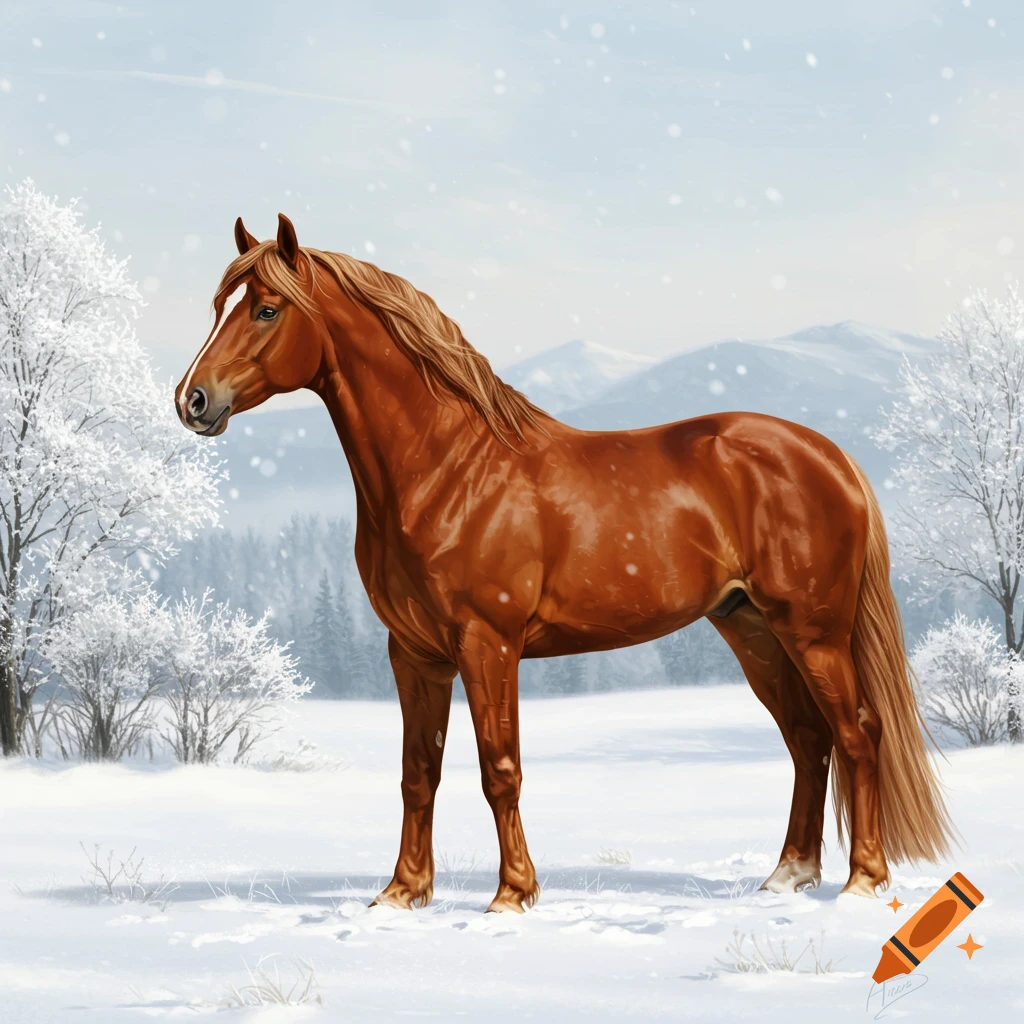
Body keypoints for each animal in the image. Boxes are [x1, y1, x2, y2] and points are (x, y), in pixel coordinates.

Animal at [175, 213, 955, 912]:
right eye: (219, 307)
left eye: (267, 309)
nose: (193, 399)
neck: (448, 467)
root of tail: (831, 456)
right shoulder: (414, 653)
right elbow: (417, 773)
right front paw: (401, 894)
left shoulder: (487, 643)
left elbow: (499, 769)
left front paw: (511, 895)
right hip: (752, 629)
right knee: (807, 737)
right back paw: (787, 878)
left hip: (812, 631)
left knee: (857, 732)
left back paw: (863, 882)